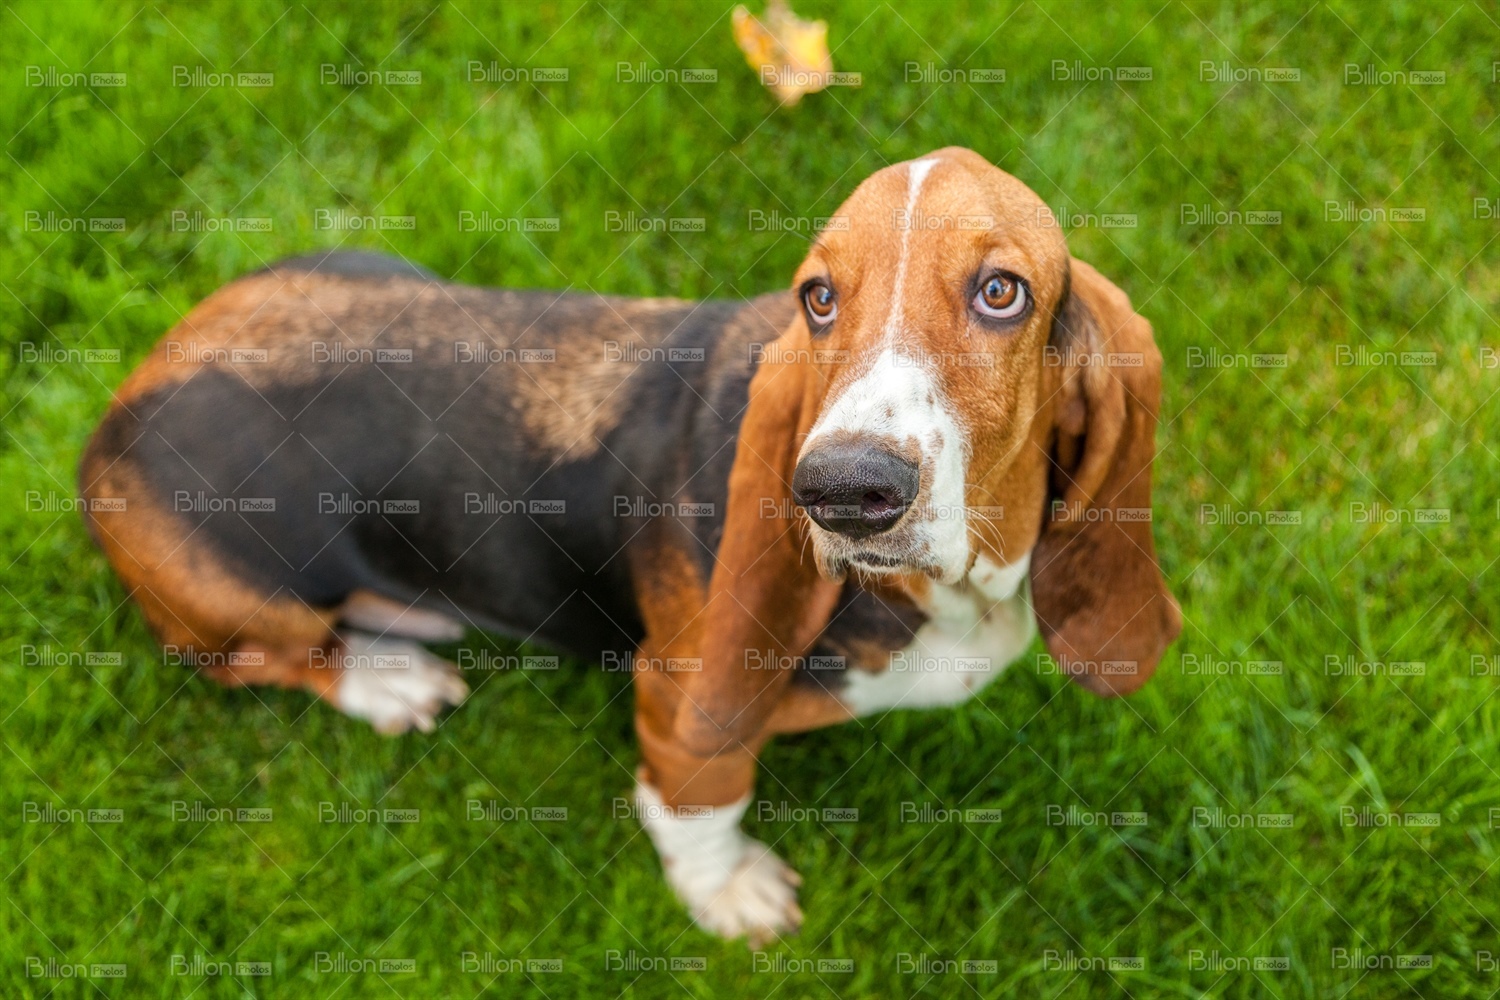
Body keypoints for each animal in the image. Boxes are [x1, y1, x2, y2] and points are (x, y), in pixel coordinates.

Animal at [80, 146, 1180, 942]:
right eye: (819, 298)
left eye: (1002, 292)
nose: (841, 493)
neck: (943, 592)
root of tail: (119, 407)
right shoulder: (679, 701)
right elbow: (701, 805)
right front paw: (728, 894)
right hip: (233, 601)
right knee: (264, 656)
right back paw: (388, 679)